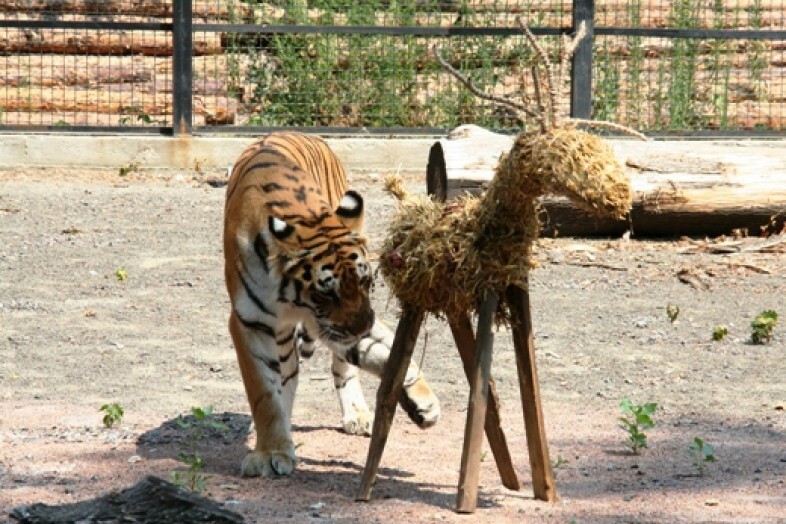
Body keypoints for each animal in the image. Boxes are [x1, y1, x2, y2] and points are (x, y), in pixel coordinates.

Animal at [222, 132, 440, 478]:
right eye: (327, 293)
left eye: (365, 281)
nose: (362, 325)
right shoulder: (251, 322)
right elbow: (265, 394)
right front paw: (271, 451)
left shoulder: (337, 322)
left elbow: (380, 351)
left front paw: (421, 401)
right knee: (290, 375)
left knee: (357, 358)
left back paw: (364, 413)